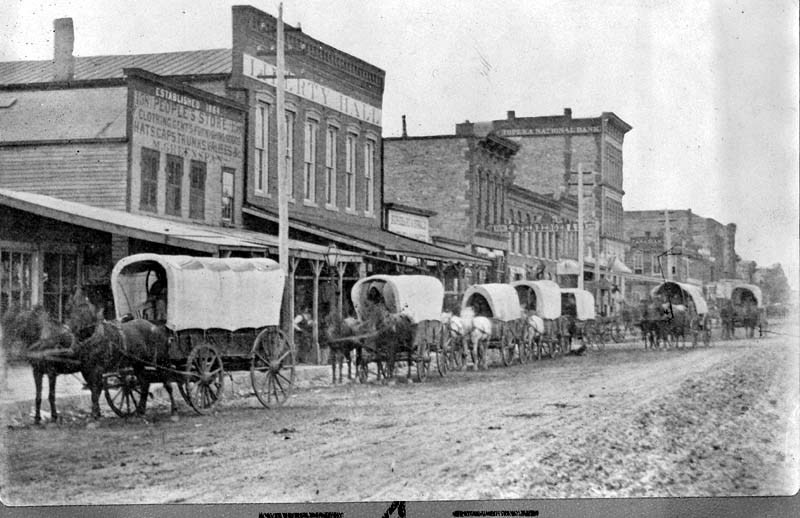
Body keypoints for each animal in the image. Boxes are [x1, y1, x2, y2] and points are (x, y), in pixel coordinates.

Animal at [67, 290, 178, 420]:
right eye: (69, 309)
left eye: (83, 310)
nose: (70, 329)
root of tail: (157, 327)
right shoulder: (86, 369)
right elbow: (93, 390)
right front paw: (96, 413)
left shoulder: (97, 369)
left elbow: (96, 391)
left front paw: (95, 415)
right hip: (138, 363)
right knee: (145, 383)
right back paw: (140, 411)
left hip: (161, 360)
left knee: (167, 383)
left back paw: (174, 410)